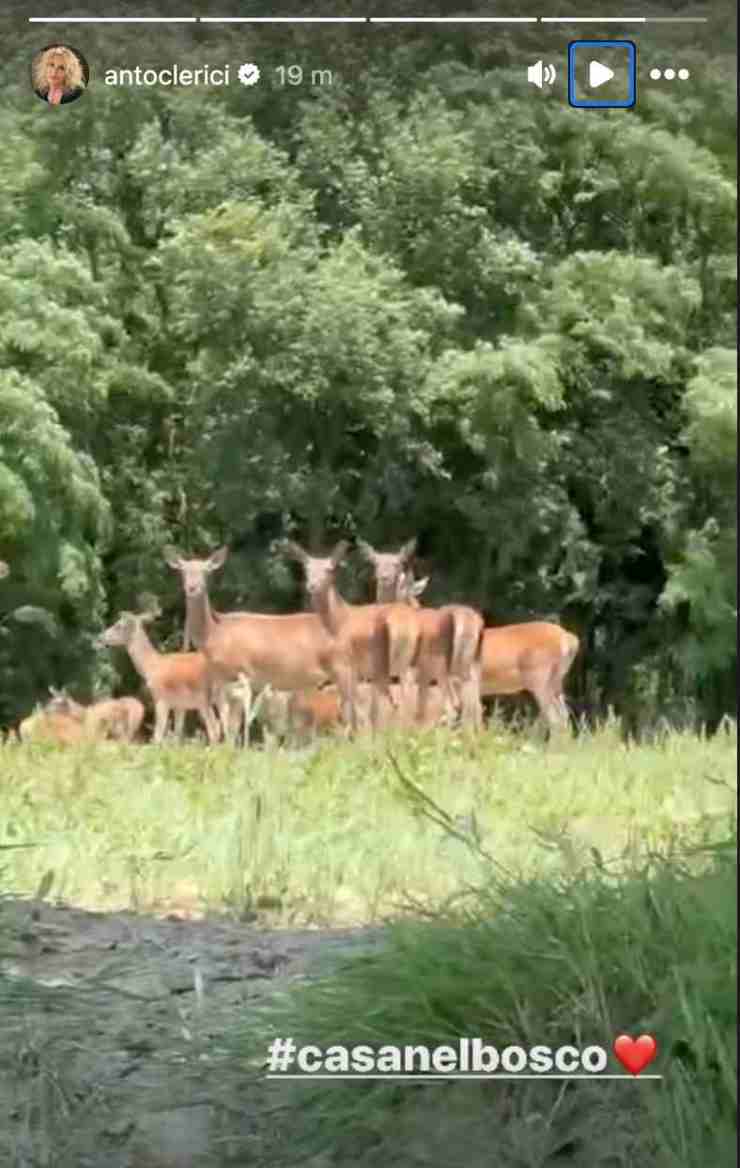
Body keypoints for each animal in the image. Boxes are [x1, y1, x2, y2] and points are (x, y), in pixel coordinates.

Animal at [98, 607, 220, 742]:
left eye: (118, 625)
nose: (100, 637)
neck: (152, 666)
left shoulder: (161, 699)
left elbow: (157, 735)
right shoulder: (179, 705)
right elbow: (176, 735)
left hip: (205, 699)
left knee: (215, 729)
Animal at [162, 546, 357, 738]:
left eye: (206, 571)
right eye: (183, 571)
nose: (192, 587)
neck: (216, 634)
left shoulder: (243, 672)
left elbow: (235, 724)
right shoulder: (223, 680)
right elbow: (229, 726)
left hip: (342, 666)